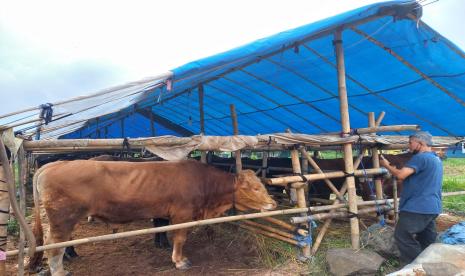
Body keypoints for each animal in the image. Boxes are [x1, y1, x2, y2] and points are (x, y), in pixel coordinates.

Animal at [29, 158, 276, 274]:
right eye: (255, 188)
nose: (272, 203)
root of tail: (54, 164)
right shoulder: (182, 215)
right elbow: (180, 239)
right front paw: (179, 261)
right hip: (62, 220)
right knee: (53, 246)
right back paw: (60, 271)